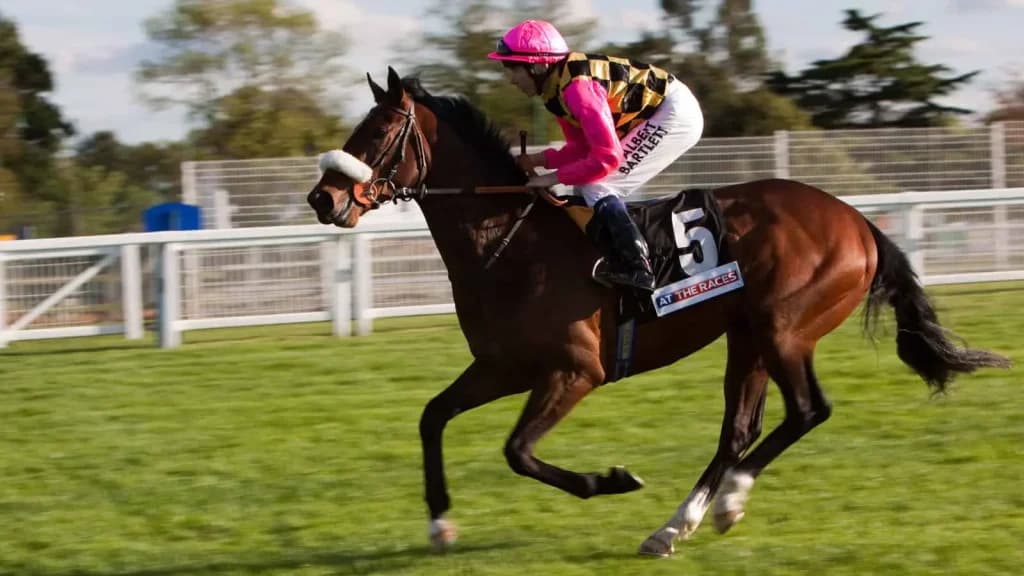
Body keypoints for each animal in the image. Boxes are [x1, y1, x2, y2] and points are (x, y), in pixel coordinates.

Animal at [306, 67, 1010, 557]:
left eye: (378, 133)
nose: (323, 197)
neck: (509, 241)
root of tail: (858, 221)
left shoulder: (575, 372)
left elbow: (517, 452)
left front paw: (611, 480)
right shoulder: (505, 367)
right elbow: (432, 418)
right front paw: (439, 523)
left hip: (785, 328)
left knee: (809, 410)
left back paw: (725, 505)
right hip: (747, 335)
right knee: (739, 430)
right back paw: (675, 527)